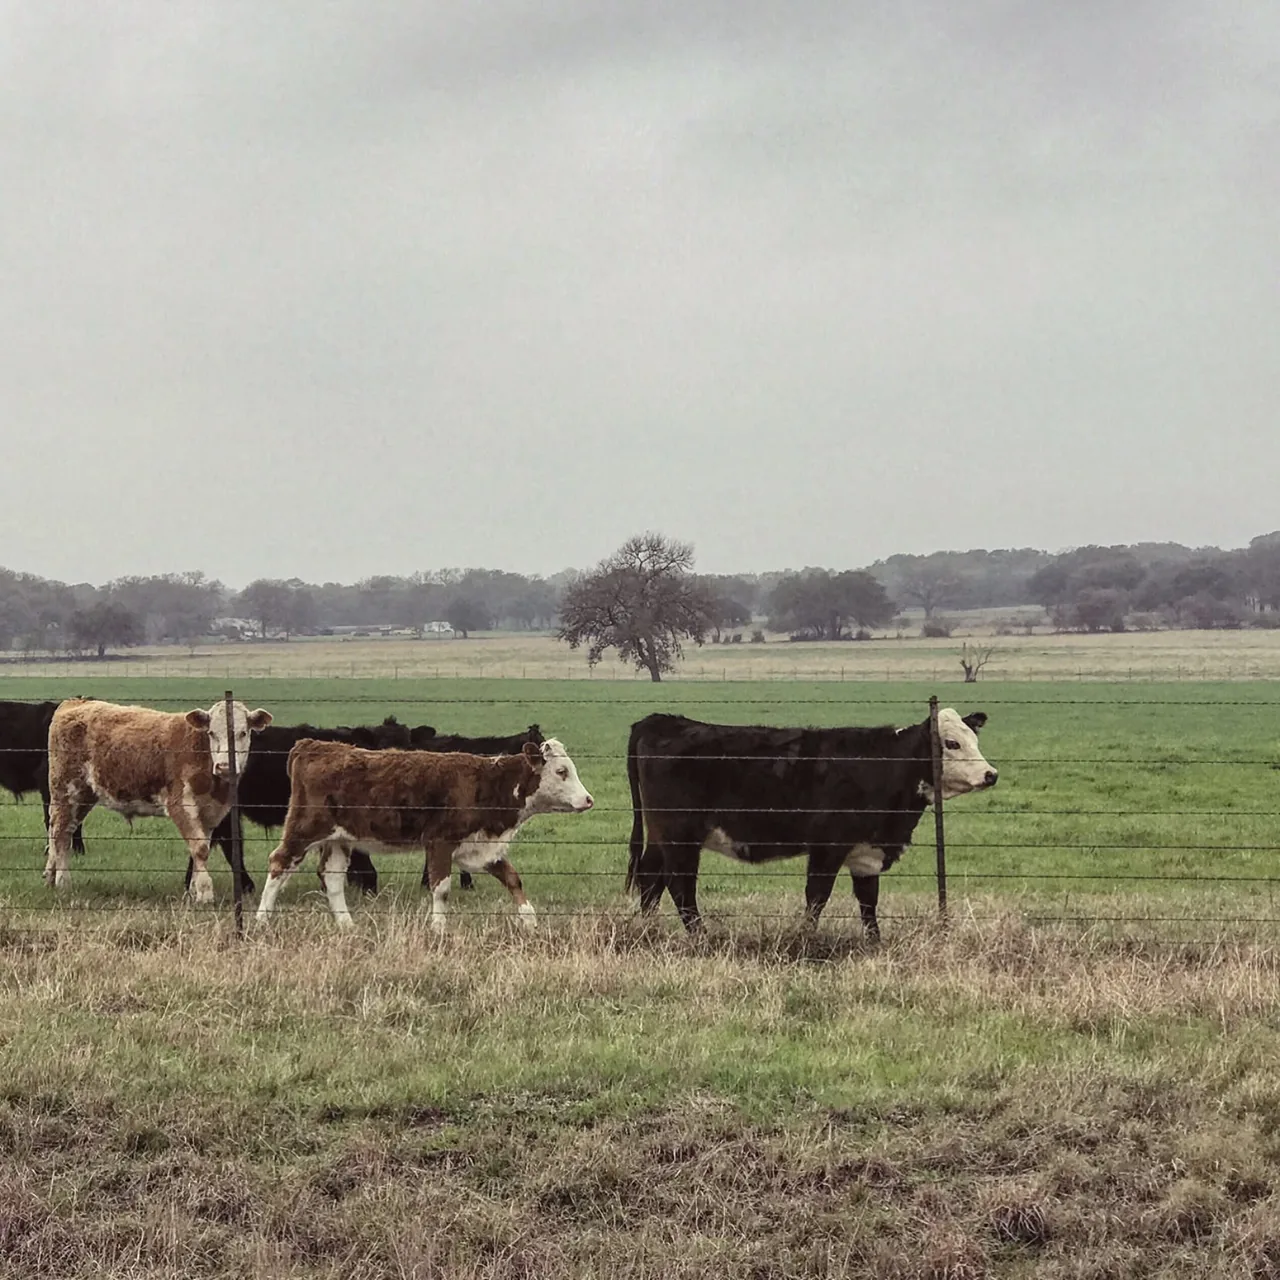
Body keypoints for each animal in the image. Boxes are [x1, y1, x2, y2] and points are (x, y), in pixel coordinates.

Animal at [45, 698, 272, 900]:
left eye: (243, 733)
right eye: (211, 733)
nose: (225, 766)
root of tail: (76, 702)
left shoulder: (211, 813)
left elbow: (201, 848)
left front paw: (193, 891)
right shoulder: (180, 805)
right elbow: (199, 849)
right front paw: (205, 893)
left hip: (84, 797)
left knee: (63, 830)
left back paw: (50, 876)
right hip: (66, 791)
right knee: (60, 834)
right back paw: (63, 882)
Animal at [255, 738, 593, 930]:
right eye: (561, 772)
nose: (588, 799)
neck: (486, 782)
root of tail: (313, 745)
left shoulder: (481, 845)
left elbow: (513, 879)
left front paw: (530, 920)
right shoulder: (440, 843)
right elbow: (441, 889)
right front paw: (439, 929)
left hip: (339, 840)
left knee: (332, 877)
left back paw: (347, 925)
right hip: (305, 829)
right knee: (279, 863)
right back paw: (260, 921)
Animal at [625, 708, 997, 937]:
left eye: (974, 739)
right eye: (952, 743)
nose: (990, 774)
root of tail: (661, 721)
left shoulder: (867, 851)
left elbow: (868, 901)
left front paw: (874, 942)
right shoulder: (827, 847)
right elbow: (817, 896)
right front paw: (804, 938)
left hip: (661, 835)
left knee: (650, 877)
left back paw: (647, 930)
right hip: (680, 836)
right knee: (680, 885)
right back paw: (701, 936)